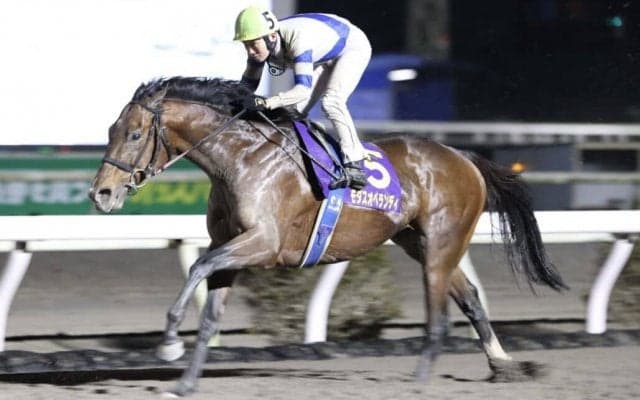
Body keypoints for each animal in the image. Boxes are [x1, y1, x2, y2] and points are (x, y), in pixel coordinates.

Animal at [89, 76, 567, 396]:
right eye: (110, 131)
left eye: (134, 133)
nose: (100, 194)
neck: (240, 158)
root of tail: (463, 156)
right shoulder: (230, 245)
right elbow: (209, 312)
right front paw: (185, 382)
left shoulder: (263, 245)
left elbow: (198, 267)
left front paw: (169, 342)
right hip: (418, 242)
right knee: (469, 298)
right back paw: (502, 365)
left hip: (442, 242)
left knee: (441, 313)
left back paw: (421, 377)